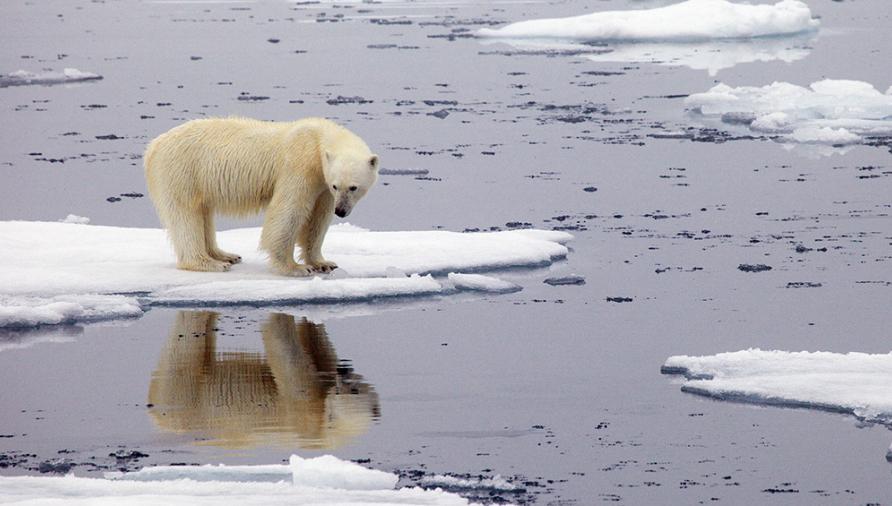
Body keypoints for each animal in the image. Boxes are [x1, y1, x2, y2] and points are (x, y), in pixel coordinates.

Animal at [142, 117, 376, 276]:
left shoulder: (322, 185)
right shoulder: (299, 166)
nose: (341, 211)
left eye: (353, 187)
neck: (317, 139)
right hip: (182, 171)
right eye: (338, 186)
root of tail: (154, 146)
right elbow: (288, 211)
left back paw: (225, 255)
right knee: (185, 215)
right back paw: (209, 263)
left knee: (203, 213)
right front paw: (295, 268)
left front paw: (323, 263)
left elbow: (318, 220)